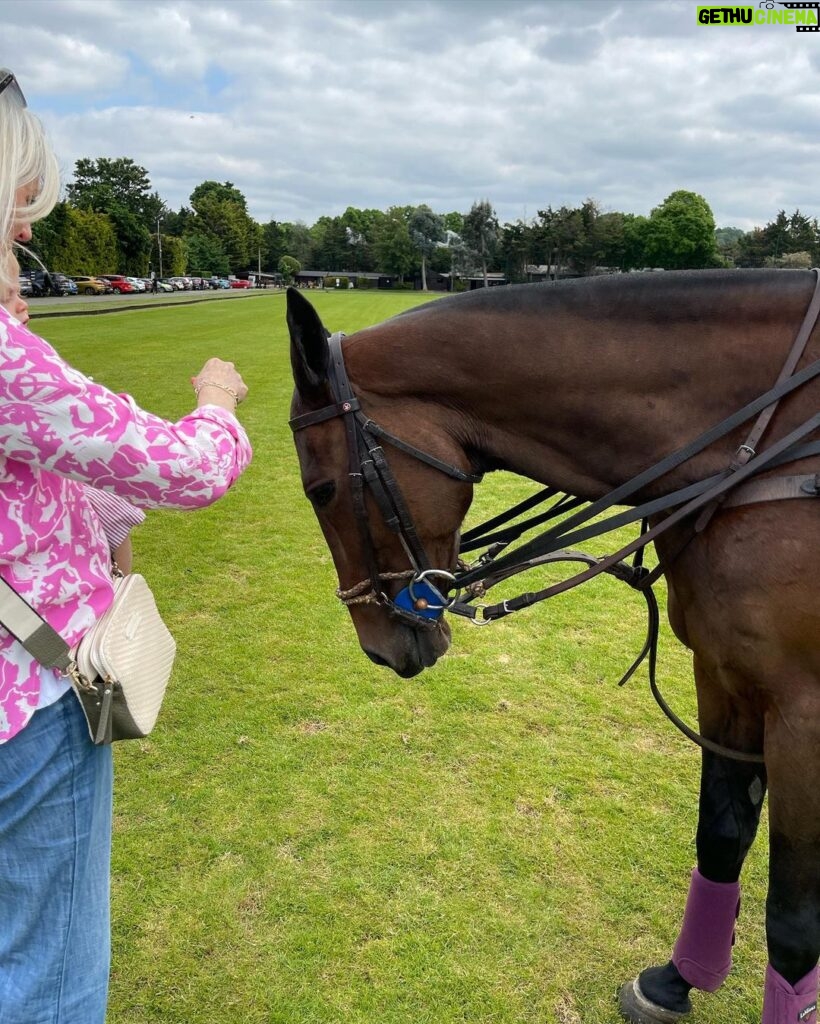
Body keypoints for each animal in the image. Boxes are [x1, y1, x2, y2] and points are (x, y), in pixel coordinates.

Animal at [288, 272, 818, 1024]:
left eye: (323, 488)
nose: (377, 648)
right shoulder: (726, 677)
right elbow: (720, 837)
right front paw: (674, 982)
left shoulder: (804, 711)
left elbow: (794, 921)